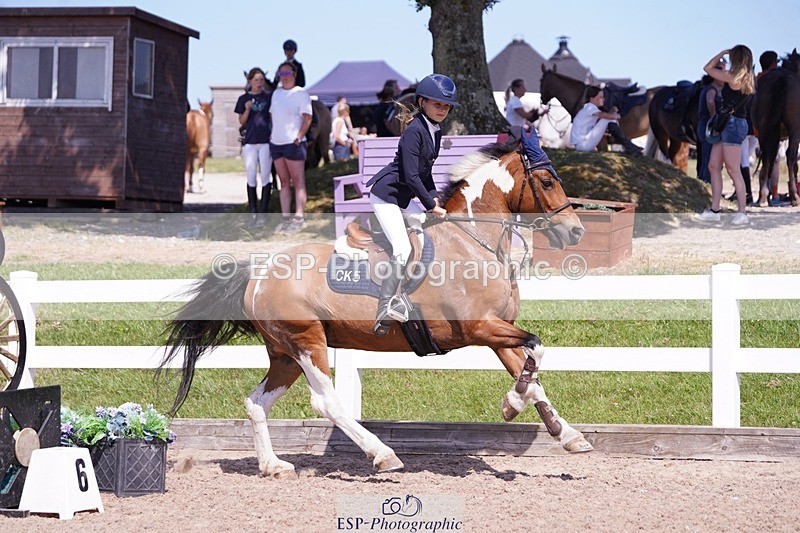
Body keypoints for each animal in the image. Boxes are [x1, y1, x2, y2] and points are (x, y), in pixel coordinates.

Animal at [160, 130, 593, 477]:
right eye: (547, 181)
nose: (576, 232)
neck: (472, 241)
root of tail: (259, 272)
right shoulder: (481, 327)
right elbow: (537, 349)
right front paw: (512, 405)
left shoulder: (498, 333)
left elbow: (532, 374)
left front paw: (564, 432)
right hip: (307, 341)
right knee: (326, 402)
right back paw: (383, 454)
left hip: (284, 353)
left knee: (256, 403)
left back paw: (273, 466)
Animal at [753, 49, 800, 206]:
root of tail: (782, 78)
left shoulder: (775, 137)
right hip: (795, 129)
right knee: (790, 156)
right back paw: (794, 197)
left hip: (764, 130)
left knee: (767, 156)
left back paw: (763, 196)